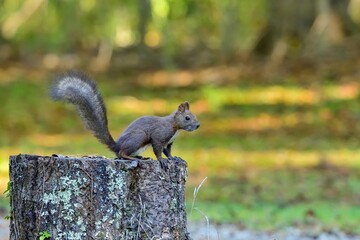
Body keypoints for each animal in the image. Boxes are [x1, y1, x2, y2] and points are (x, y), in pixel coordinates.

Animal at [51, 70, 201, 165]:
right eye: (187, 118)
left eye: (194, 116)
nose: (198, 125)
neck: (175, 126)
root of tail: (116, 145)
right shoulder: (159, 135)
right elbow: (158, 149)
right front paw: (162, 160)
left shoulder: (169, 142)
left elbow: (167, 151)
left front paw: (173, 158)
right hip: (139, 136)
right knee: (122, 153)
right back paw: (135, 159)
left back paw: (140, 157)